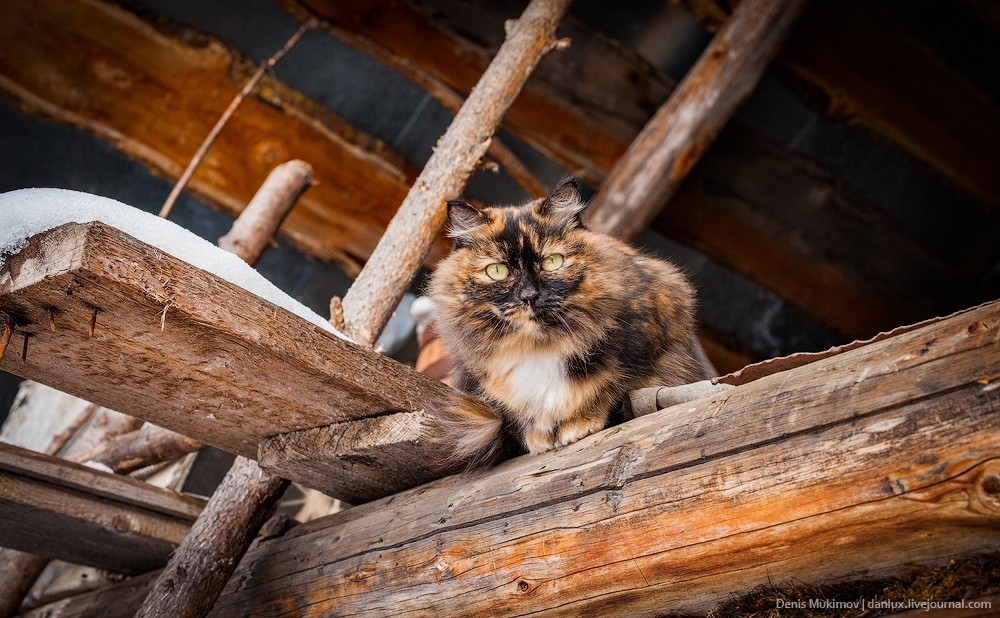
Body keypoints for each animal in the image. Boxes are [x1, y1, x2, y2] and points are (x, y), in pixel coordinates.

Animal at [428, 178, 704, 462]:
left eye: (551, 262)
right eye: (497, 270)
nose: (529, 296)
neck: (538, 345)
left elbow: (609, 389)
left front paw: (580, 422)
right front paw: (538, 436)